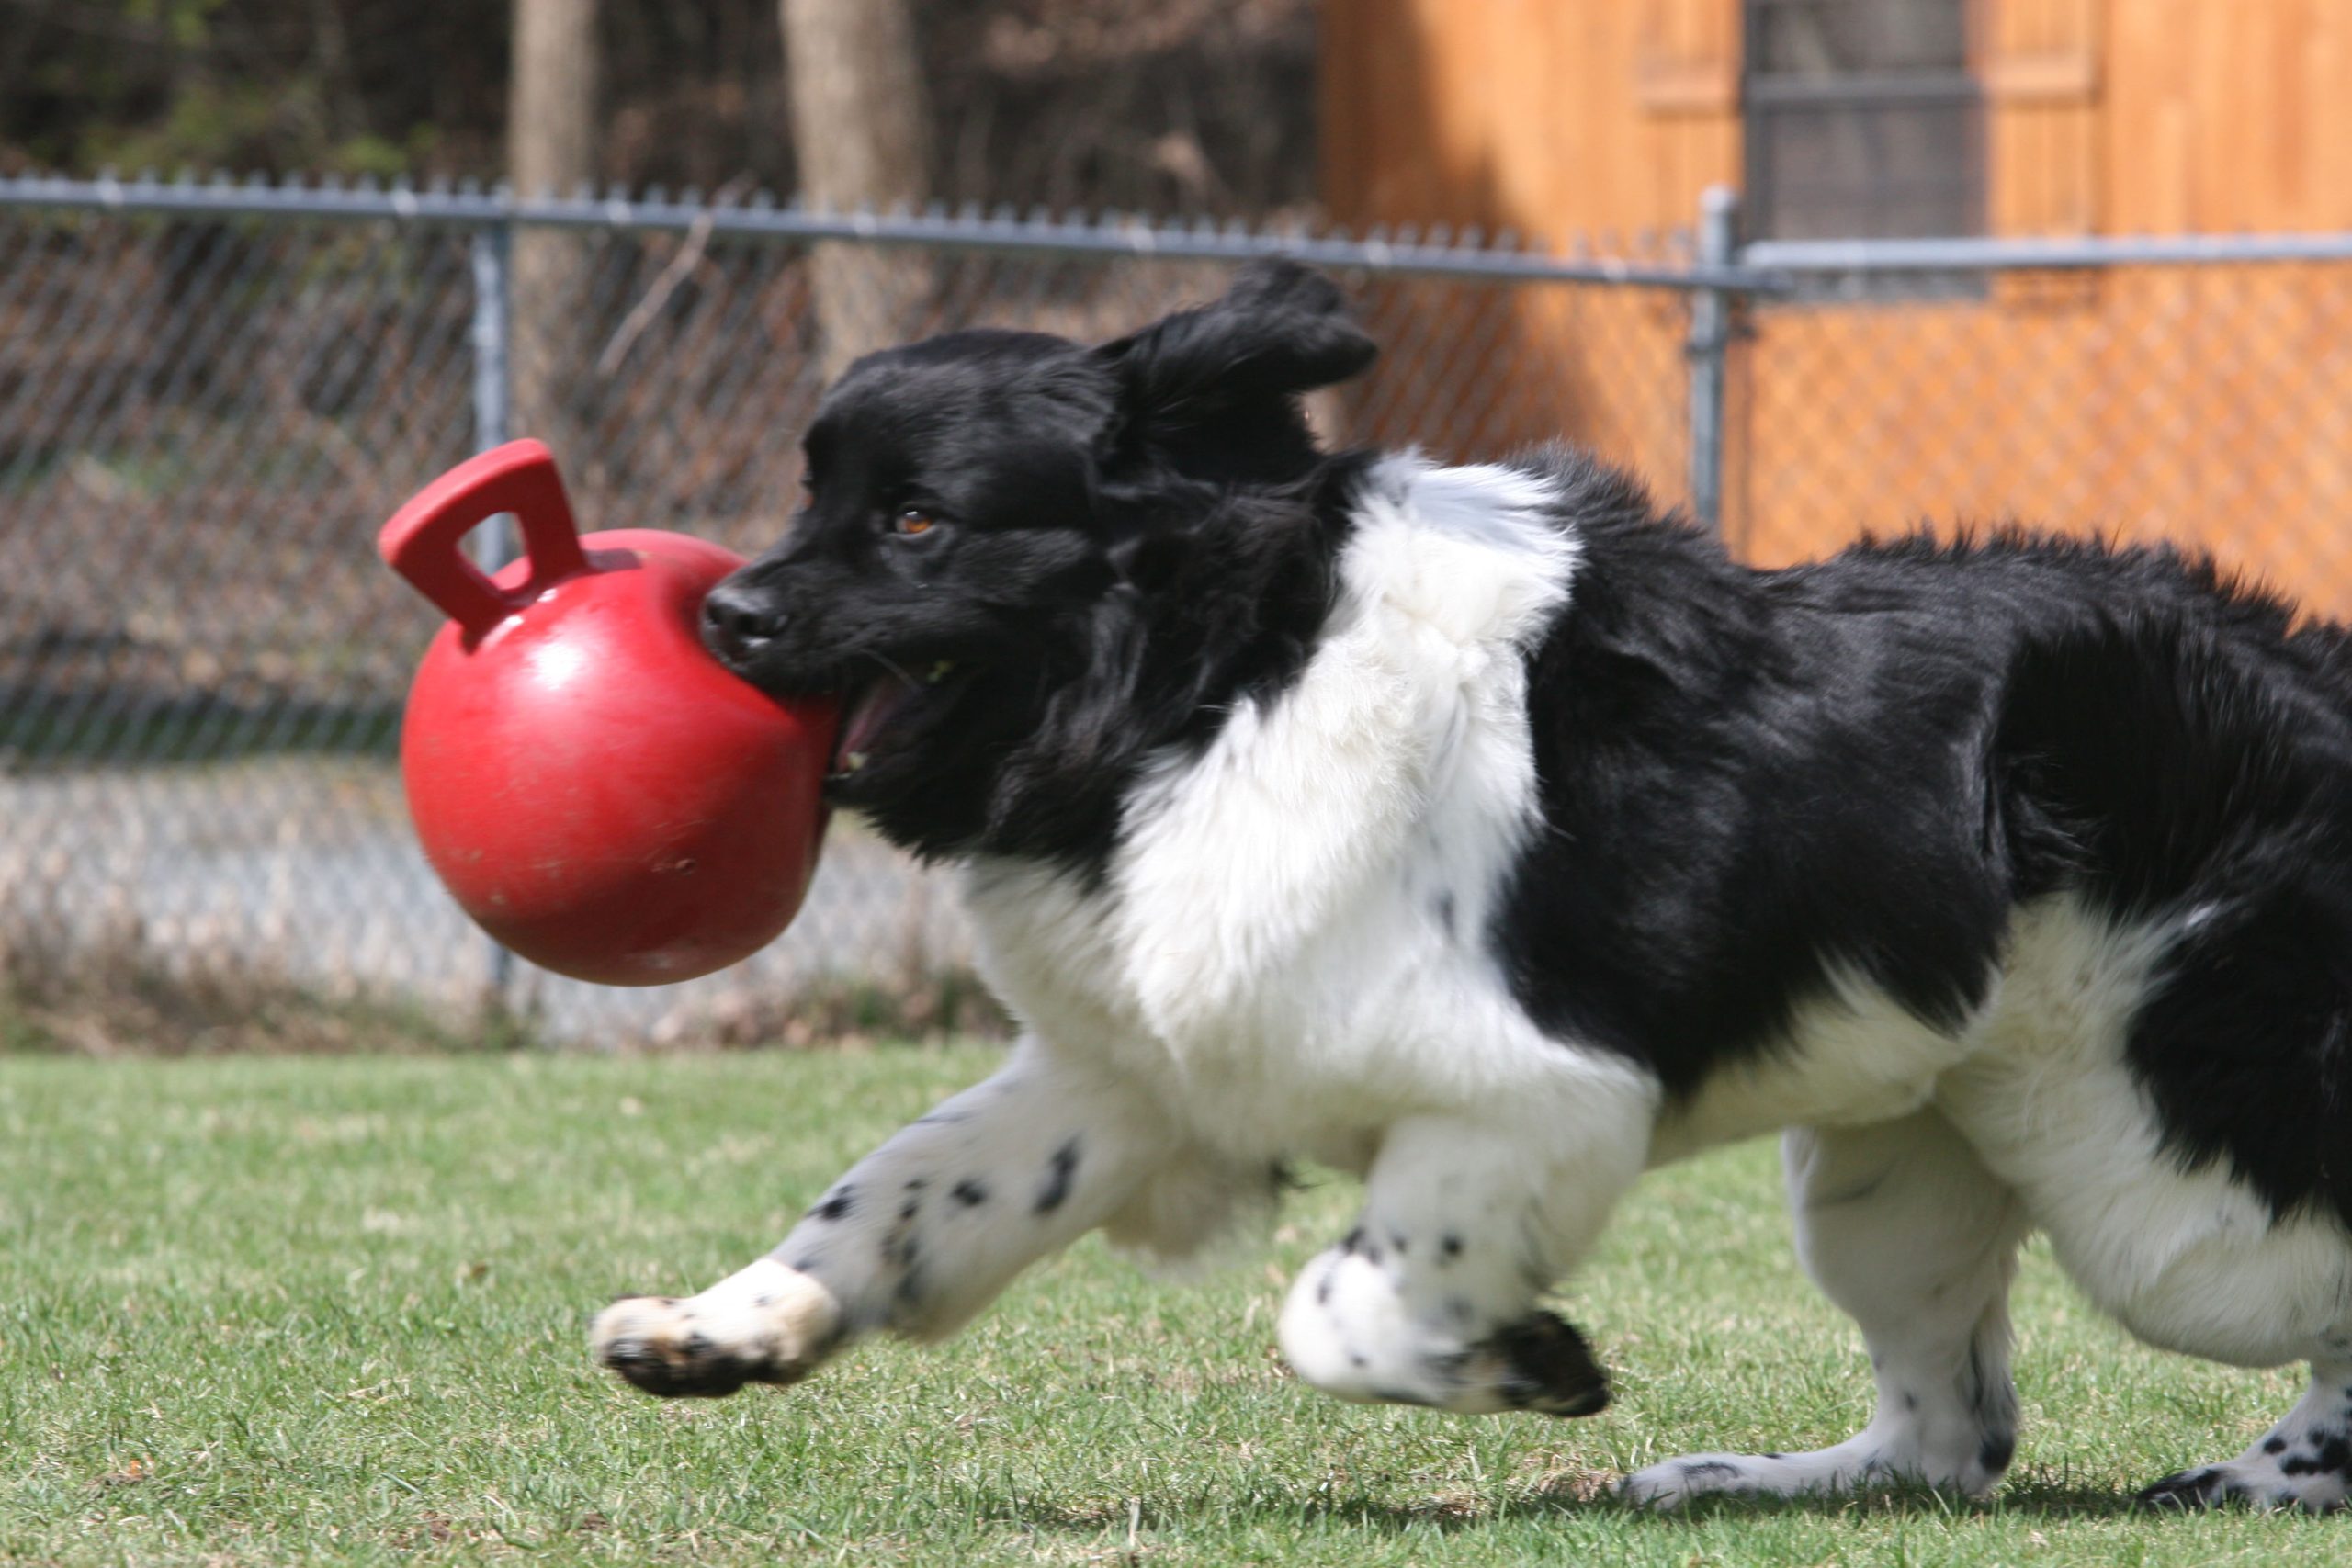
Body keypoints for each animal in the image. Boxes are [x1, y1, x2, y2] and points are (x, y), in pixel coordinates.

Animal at [592, 260, 2352, 1512]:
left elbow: (1335, 1308)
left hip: (2157, 1183)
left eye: (914, 519)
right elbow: (895, 1191)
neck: (1216, 673)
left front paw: (1522, 1356)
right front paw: (721, 1322)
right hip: (1894, 1159)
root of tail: (2304, 672)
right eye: (814, 497)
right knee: (1950, 1431)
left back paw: (2270, 1475)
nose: (728, 616)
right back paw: (1748, 1479)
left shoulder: (1529, 1093)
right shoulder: (1132, 1071)